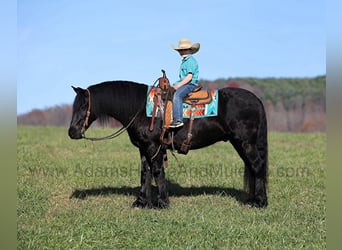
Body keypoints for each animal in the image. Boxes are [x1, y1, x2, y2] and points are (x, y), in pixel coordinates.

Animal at [68, 81, 268, 208]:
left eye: (83, 106)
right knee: (252, 168)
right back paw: (252, 199)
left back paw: (260, 202)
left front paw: (162, 203)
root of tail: (256, 100)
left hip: (245, 143)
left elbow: (157, 172)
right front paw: (141, 202)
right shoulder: (143, 148)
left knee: (257, 166)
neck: (143, 109)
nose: (72, 132)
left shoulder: (153, 147)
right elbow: (145, 173)